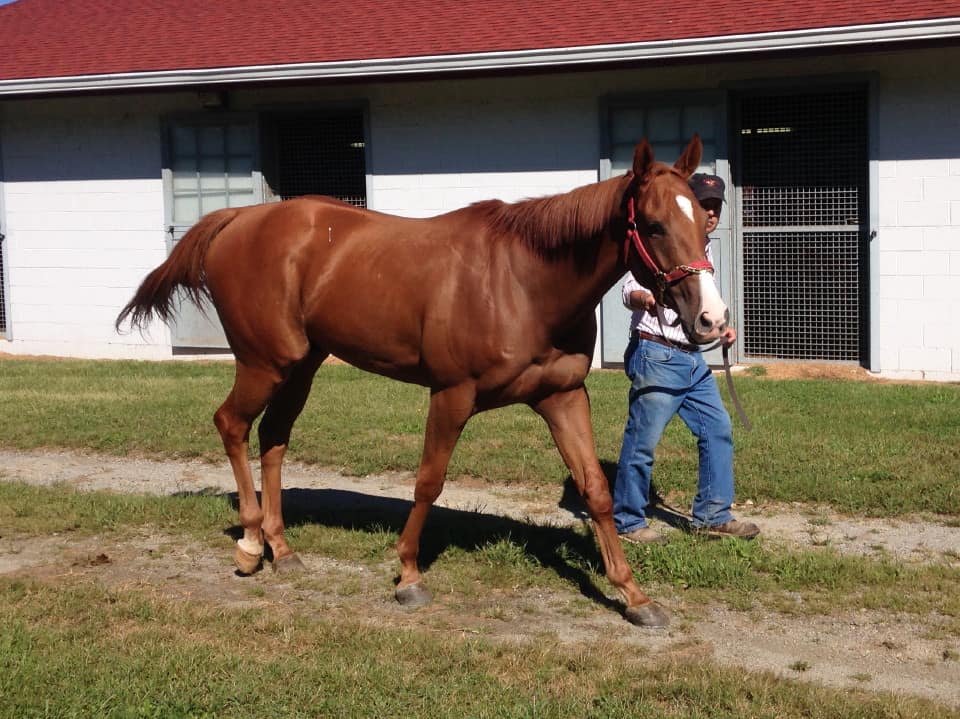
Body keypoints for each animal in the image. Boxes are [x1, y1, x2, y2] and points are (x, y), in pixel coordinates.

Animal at [116, 135, 726, 627]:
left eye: (702, 222)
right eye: (654, 226)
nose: (712, 320)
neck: (523, 282)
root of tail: (240, 218)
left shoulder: (562, 396)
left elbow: (596, 490)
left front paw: (634, 596)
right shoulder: (452, 394)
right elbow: (429, 481)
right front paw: (408, 575)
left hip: (302, 366)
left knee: (273, 438)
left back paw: (281, 548)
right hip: (265, 362)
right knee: (232, 424)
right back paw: (248, 544)